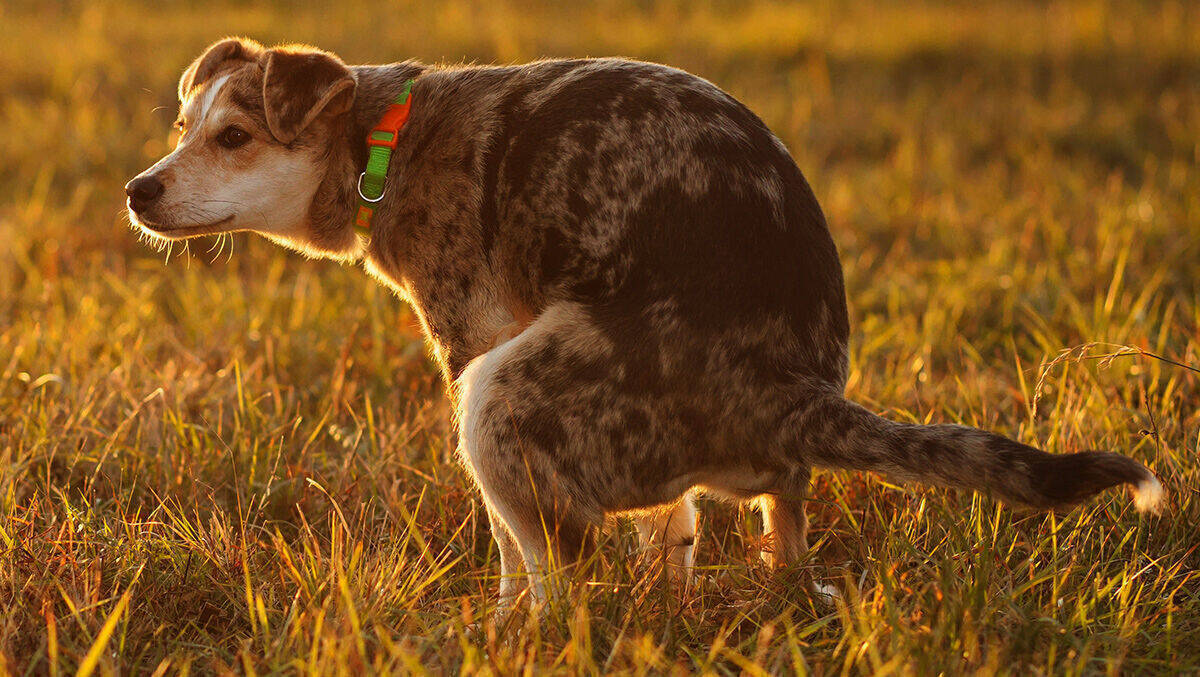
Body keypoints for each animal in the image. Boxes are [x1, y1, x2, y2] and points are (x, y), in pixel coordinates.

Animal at [129, 37, 1161, 607]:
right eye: (181, 127)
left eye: (234, 137)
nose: (139, 190)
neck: (385, 139)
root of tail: (791, 392)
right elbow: (672, 529)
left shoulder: (472, 341)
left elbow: (513, 552)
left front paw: (499, 625)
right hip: (741, 471)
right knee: (776, 526)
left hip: (500, 393)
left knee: (563, 572)